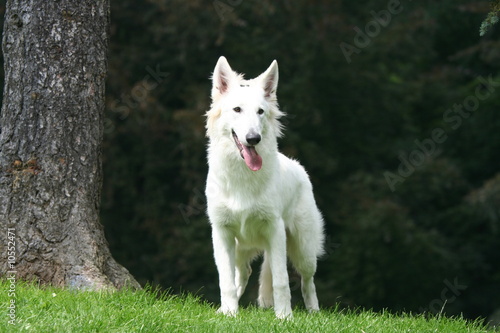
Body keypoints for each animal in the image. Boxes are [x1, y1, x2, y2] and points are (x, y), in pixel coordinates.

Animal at [205, 55, 326, 318]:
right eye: (237, 110)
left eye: (260, 112)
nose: (253, 139)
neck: (242, 176)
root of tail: (301, 169)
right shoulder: (221, 233)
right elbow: (225, 280)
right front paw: (229, 313)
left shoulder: (274, 230)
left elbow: (281, 281)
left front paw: (284, 317)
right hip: (240, 248)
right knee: (243, 274)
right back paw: (229, 307)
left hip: (303, 250)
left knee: (308, 281)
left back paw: (314, 312)